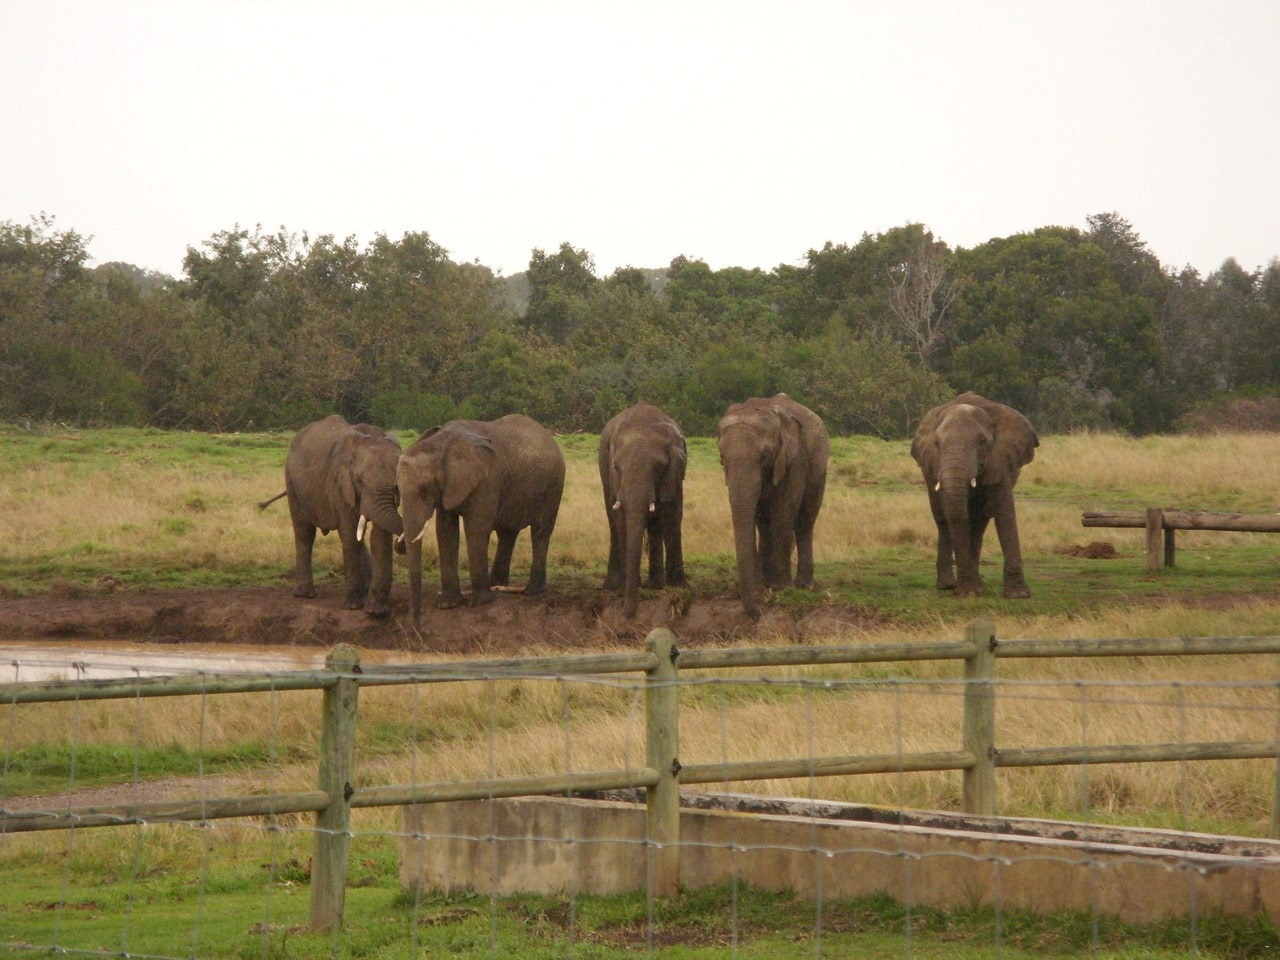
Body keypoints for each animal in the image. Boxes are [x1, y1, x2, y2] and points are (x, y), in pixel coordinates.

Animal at [260, 414, 404, 618]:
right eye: (358, 480)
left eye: (396, 482)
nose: (401, 545)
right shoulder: (340, 485)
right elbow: (349, 534)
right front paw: (352, 607)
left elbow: (379, 538)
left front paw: (377, 611)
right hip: (292, 481)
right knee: (305, 533)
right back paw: (305, 594)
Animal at [397, 414, 566, 622]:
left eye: (424, 490)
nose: (415, 622)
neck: (440, 444)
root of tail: (549, 436)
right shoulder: (449, 486)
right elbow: (445, 530)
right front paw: (448, 605)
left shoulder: (487, 478)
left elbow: (476, 527)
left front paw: (479, 603)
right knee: (507, 533)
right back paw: (497, 585)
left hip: (553, 485)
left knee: (540, 532)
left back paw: (532, 591)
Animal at [598, 403, 689, 618]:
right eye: (617, 467)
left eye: (658, 467)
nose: (627, 615)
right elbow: (620, 518)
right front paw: (625, 589)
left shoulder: (674, 473)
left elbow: (672, 514)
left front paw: (679, 587)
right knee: (612, 522)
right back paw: (612, 586)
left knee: (657, 525)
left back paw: (655, 584)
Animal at [717, 394, 829, 619]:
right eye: (721, 457)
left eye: (764, 456)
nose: (758, 613)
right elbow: (753, 514)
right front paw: (761, 587)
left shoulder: (795, 460)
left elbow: (784, 511)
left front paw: (781, 588)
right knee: (764, 524)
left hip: (819, 470)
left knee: (805, 522)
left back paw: (803, 585)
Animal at [910, 391, 1039, 598]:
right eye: (937, 443)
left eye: (982, 442)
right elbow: (953, 515)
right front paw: (968, 594)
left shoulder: (1000, 460)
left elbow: (1004, 512)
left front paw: (1018, 595)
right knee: (943, 521)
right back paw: (948, 585)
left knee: (979, 523)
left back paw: (977, 584)